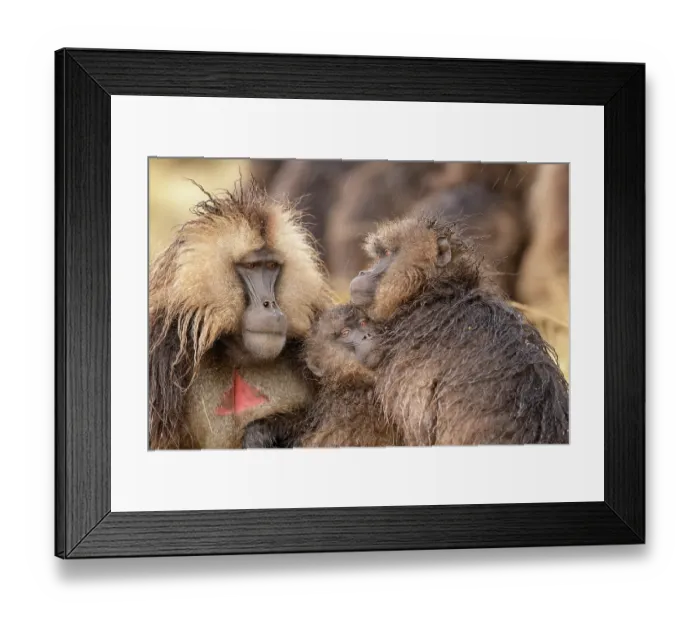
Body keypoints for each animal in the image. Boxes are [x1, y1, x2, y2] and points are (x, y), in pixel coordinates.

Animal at [148, 181, 333, 450]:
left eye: (271, 266)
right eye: (252, 267)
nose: (270, 305)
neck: (238, 351)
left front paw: (263, 432)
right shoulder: (162, 349)